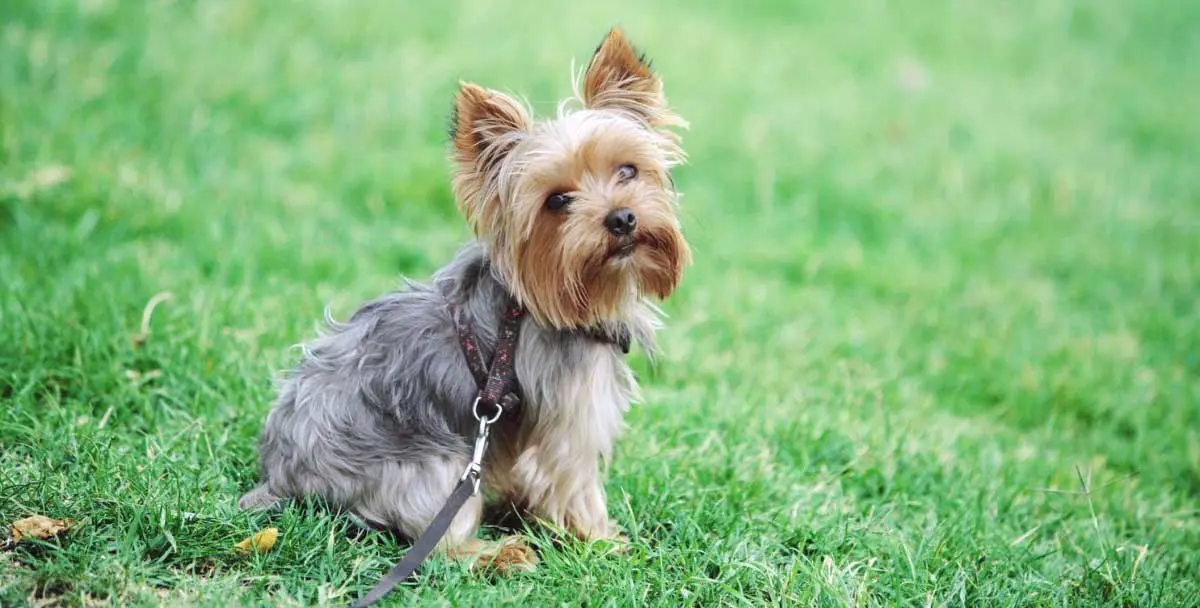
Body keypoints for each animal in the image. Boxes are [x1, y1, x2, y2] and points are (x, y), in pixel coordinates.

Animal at [238, 27, 691, 570]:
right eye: (558, 200)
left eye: (627, 170)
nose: (621, 218)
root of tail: (283, 476)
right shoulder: (572, 416)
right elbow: (576, 484)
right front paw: (603, 542)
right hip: (434, 466)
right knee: (438, 543)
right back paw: (501, 553)